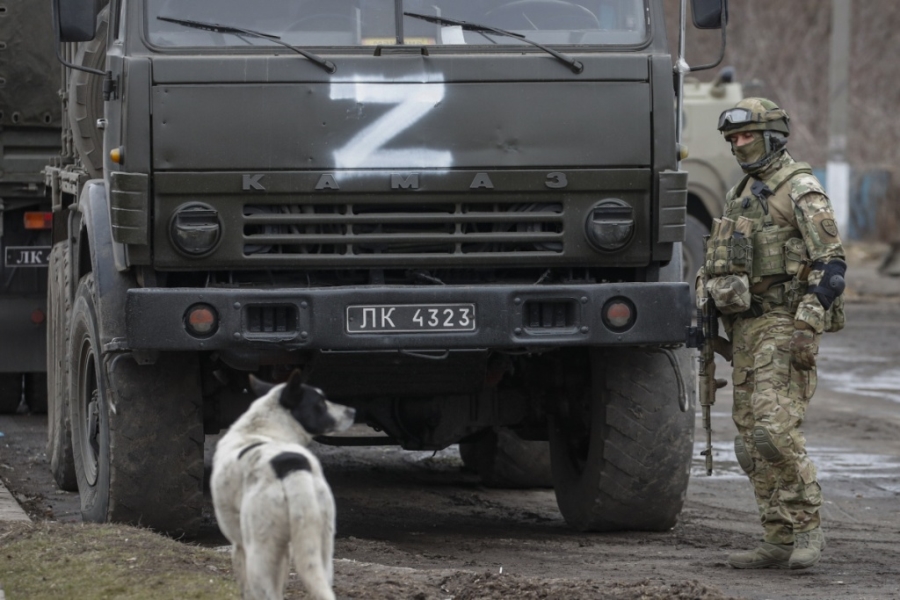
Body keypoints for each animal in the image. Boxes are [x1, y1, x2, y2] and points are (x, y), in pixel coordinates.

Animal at [211, 370, 356, 600]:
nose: (353, 411)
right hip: (321, 548)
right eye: (321, 403)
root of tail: (292, 469)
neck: (262, 428)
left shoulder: (239, 546)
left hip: (258, 554)